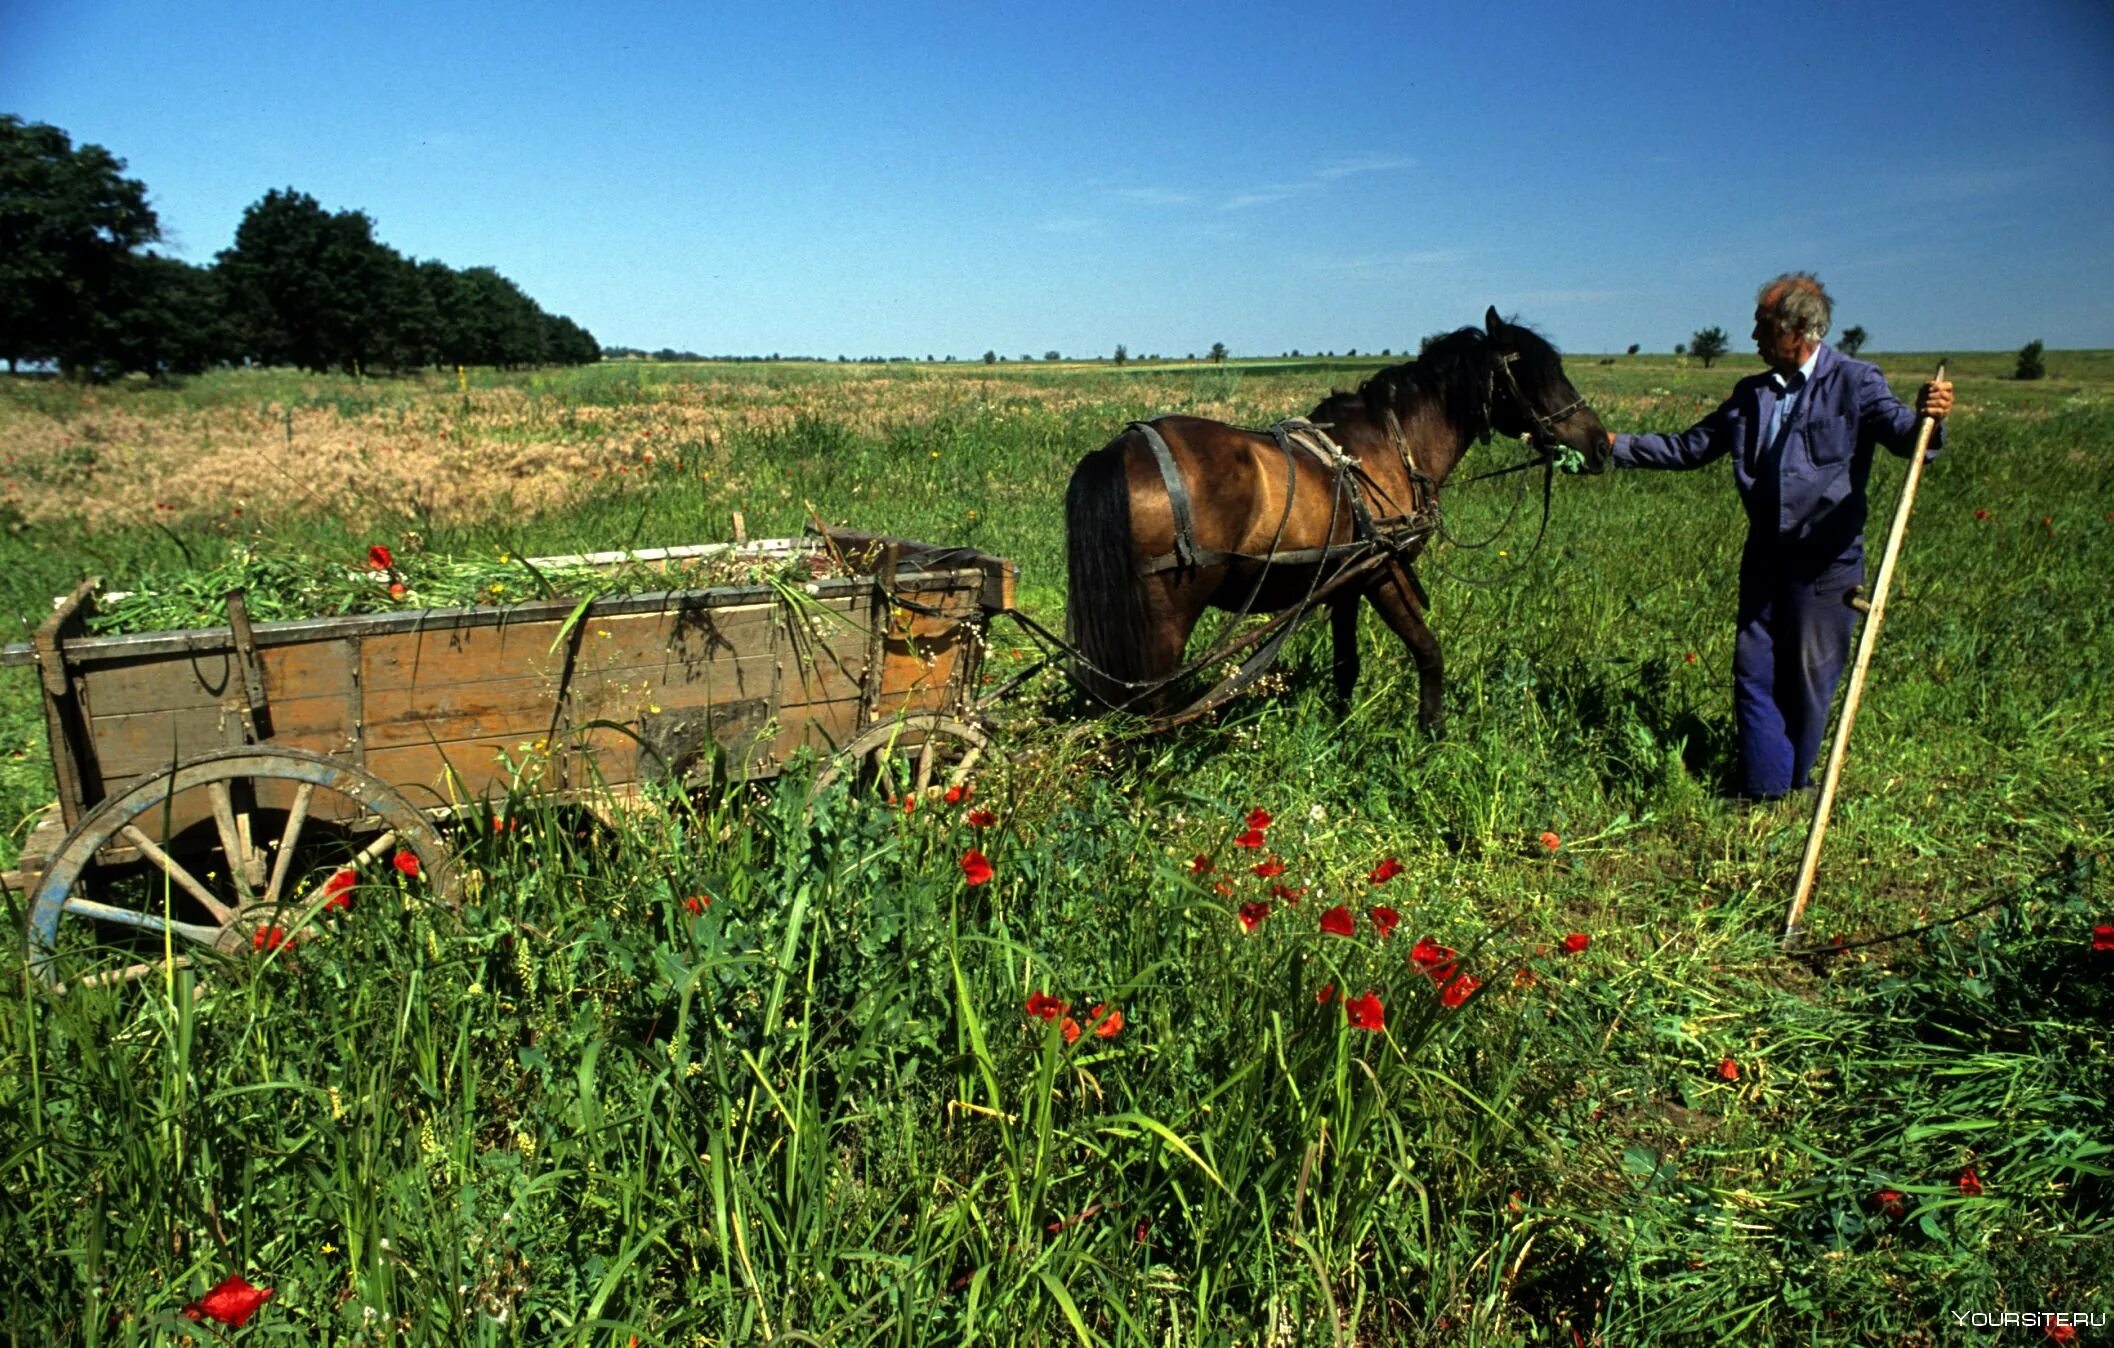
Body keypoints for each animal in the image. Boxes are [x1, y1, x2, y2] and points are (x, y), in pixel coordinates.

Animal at [1065, 308, 1606, 735]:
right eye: (1535, 374)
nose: (1601, 444)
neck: (1391, 448)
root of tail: (1120, 450)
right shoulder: (1384, 572)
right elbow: (1428, 651)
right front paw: (1432, 733)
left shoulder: (1345, 583)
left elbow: (1346, 664)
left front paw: (1340, 730)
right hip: (1165, 616)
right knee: (1149, 708)